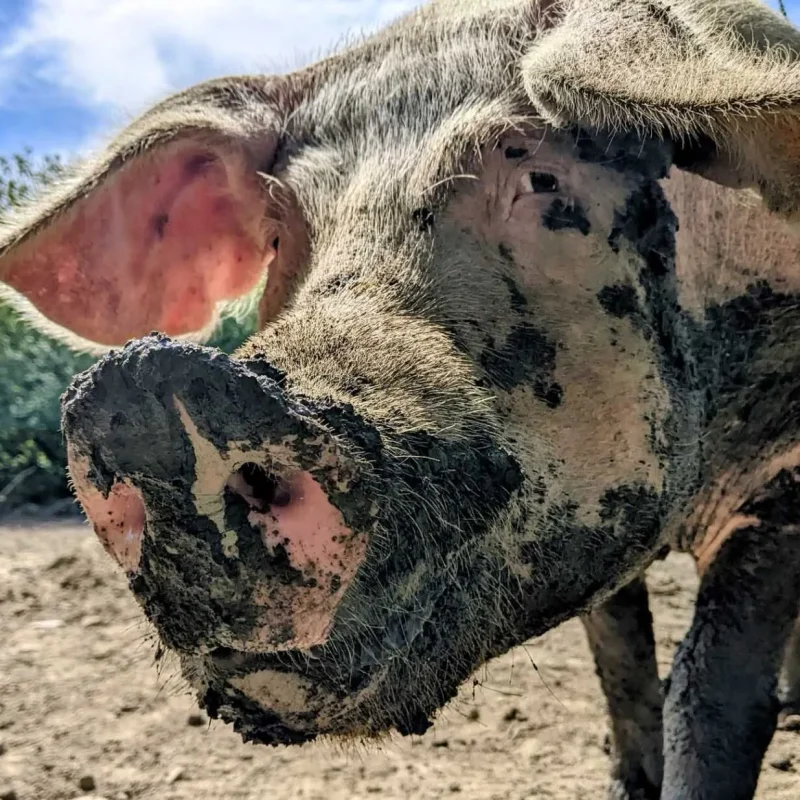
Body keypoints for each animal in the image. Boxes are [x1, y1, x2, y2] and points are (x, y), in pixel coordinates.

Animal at [1, 1, 800, 798]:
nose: (147, 396)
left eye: (542, 179)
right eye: (280, 233)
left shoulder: (778, 480)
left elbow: (709, 699)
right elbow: (621, 670)